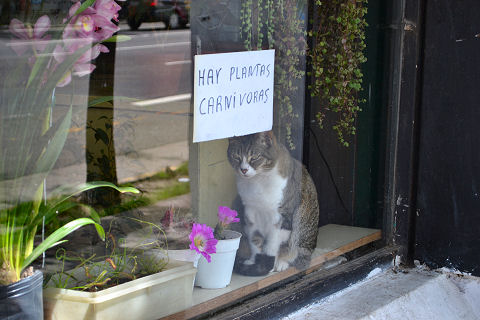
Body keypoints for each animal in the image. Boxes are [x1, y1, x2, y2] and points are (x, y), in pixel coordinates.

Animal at [228, 131, 320, 276]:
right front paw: (254, 261)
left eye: (254, 157)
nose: (243, 170)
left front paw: (271, 265)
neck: (258, 181)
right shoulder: (250, 213)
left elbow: (273, 244)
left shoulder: (281, 216)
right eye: (236, 157)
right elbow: (255, 242)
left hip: (300, 218)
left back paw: (283, 262)